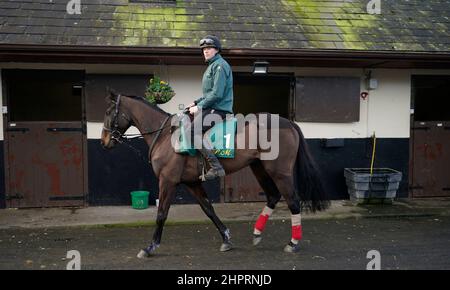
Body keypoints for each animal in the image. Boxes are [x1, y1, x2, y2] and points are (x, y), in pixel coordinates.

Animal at [100, 90, 328, 258]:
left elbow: (162, 213)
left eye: (109, 111)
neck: (165, 135)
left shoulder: (168, 181)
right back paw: (257, 233)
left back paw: (293, 242)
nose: (104, 141)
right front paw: (226, 238)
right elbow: (208, 209)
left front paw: (150, 247)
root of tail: (288, 122)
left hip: (279, 172)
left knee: (293, 201)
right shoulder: (192, 183)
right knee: (273, 196)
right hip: (259, 168)